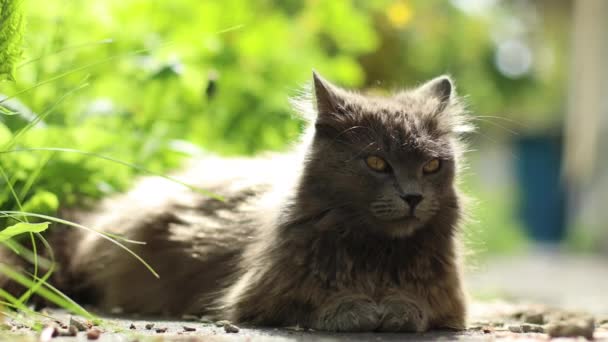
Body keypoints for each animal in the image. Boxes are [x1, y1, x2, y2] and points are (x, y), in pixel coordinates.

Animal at [0, 71, 470, 332]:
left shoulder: (449, 302)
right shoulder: (258, 295)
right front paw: (357, 309)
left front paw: (395, 308)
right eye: (376, 162)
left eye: (431, 166)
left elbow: (418, 306)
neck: (374, 252)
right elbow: (315, 301)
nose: (413, 197)